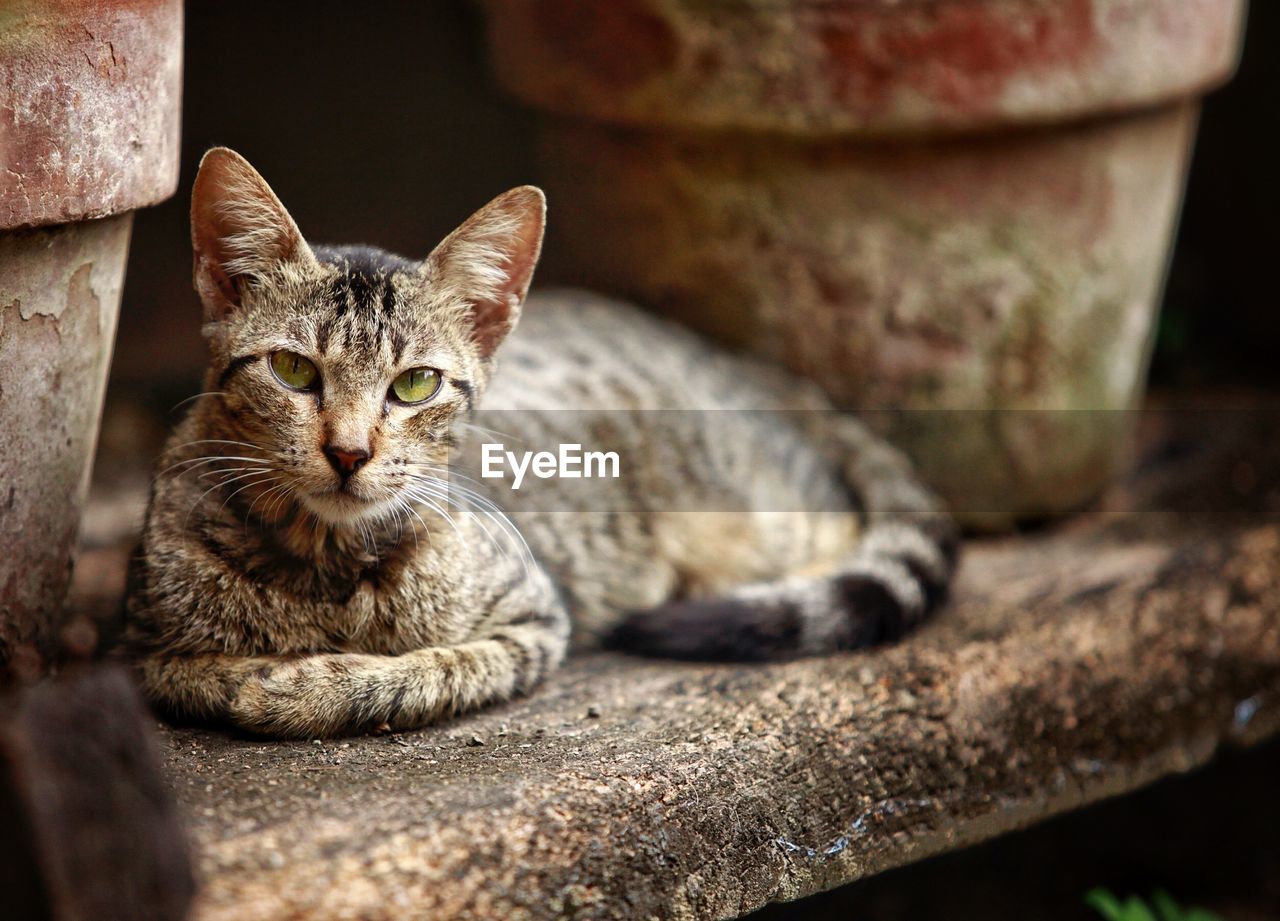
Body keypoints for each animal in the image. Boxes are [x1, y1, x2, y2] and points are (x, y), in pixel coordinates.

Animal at [122, 150, 962, 741]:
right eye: (294, 370)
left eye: (416, 384)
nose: (350, 451)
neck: (325, 562)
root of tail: (738, 360)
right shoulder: (143, 644)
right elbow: (195, 675)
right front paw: (263, 673)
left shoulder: (534, 620)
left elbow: (422, 670)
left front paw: (306, 683)